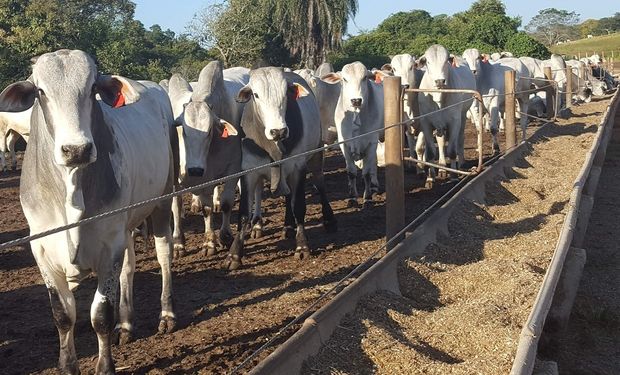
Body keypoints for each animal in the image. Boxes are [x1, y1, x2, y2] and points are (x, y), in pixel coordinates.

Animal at [0, 49, 177, 374]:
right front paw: (68, 365)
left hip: (162, 200)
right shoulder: (41, 248)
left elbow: (101, 315)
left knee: (164, 256)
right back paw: (126, 324)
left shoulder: (109, 245)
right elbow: (63, 314)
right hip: (126, 225)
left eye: (93, 88)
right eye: (40, 91)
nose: (76, 150)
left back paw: (167, 315)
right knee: (128, 268)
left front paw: (105, 366)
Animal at [324, 62, 382, 209]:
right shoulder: (344, 144)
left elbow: (366, 172)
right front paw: (352, 198)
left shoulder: (371, 142)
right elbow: (351, 172)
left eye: (365, 77)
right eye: (344, 79)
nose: (356, 100)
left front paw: (367, 198)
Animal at [418, 44, 478, 188]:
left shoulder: (454, 121)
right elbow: (430, 152)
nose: (440, 81)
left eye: (446, 61)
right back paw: (441, 167)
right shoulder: (426, 122)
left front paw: (454, 176)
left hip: (462, 117)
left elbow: (451, 150)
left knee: (459, 140)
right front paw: (430, 178)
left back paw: (460, 164)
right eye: (428, 62)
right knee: (440, 142)